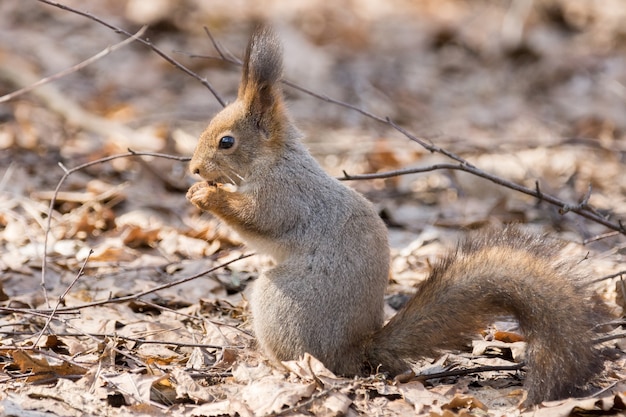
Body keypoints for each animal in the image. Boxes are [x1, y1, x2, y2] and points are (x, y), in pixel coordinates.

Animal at [185, 26, 604, 404]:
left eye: (227, 142)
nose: (193, 169)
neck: (273, 160)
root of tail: (356, 351)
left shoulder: (285, 196)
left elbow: (257, 221)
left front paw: (207, 195)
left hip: (279, 302)